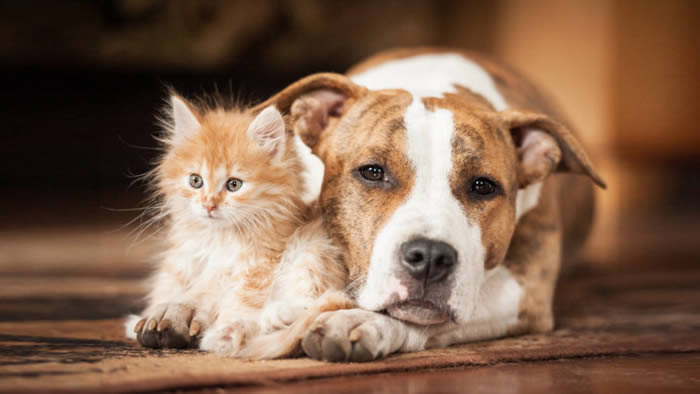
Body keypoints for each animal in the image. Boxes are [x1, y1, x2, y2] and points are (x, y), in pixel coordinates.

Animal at [124, 93, 348, 358]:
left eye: (234, 185)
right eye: (195, 181)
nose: (209, 205)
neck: (218, 238)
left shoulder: (261, 265)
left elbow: (240, 299)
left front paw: (225, 332)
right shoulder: (181, 263)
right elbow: (173, 291)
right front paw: (156, 316)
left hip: (313, 248)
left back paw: (266, 321)